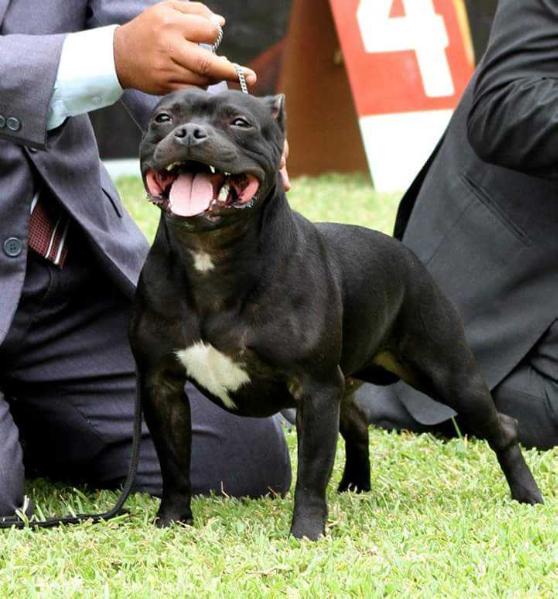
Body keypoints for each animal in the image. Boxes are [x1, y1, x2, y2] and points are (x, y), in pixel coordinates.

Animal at [131, 90, 544, 544]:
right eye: (163, 118)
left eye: (239, 122)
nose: (189, 132)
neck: (212, 259)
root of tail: (406, 255)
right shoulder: (162, 385)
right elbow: (174, 464)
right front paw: (172, 520)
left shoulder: (314, 389)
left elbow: (312, 472)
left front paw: (307, 532)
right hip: (350, 379)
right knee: (359, 421)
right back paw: (356, 484)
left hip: (448, 374)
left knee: (501, 425)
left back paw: (528, 496)